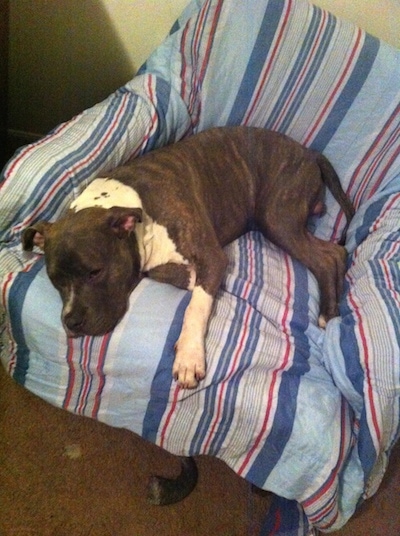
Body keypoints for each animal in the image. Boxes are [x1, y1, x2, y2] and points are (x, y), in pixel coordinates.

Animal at [22, 125, 354, 390]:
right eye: (54, 280)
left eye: (95, 272)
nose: (71, 322)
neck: (134, 210)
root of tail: (309, 153)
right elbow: (164, 272)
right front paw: (186, 276)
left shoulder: (212, 256)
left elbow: (196, 307)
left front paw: (188, 357)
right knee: (336, 252)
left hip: (276, 217)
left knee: (328, 256)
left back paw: (327, 312)